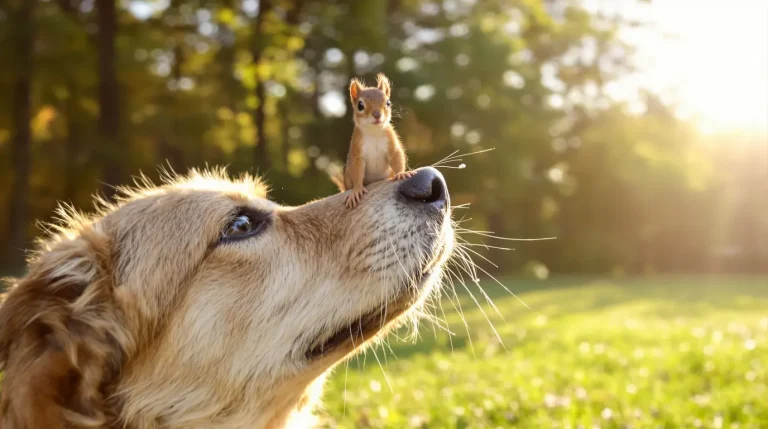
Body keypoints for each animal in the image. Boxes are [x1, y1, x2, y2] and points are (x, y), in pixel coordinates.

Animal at [334, 73, 414, 208]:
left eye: (388, 102)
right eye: (360, 105)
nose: (377, 115)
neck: (374, 132)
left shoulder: (392, 144)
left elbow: (397, 157)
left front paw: (401, 174)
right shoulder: (357, 151)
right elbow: (357, 171)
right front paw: (357, 190)